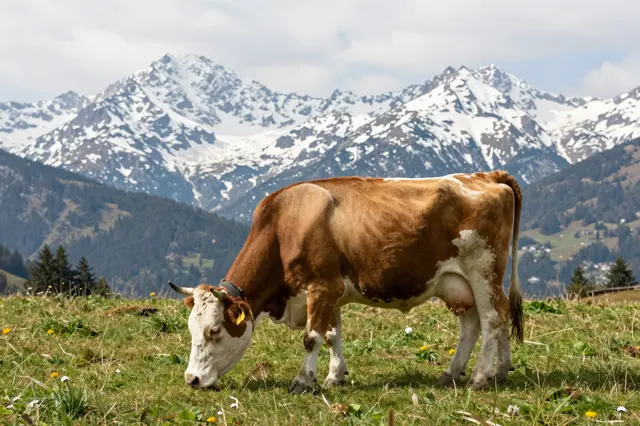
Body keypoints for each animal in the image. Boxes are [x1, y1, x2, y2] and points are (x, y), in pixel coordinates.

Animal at [168, 170, 524, 393]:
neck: (284, 224)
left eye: (214, 330)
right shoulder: (331, 292)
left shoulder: (323, 286)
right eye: (190, 329)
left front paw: (303, 381)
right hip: (457, 283)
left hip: (483, 270)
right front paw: (334, 376)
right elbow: (331, 335)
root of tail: (486, 176)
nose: (192, 379)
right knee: (478, 323)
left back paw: (480, 378)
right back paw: (480, 372)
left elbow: (311, 337)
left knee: (493, 317)